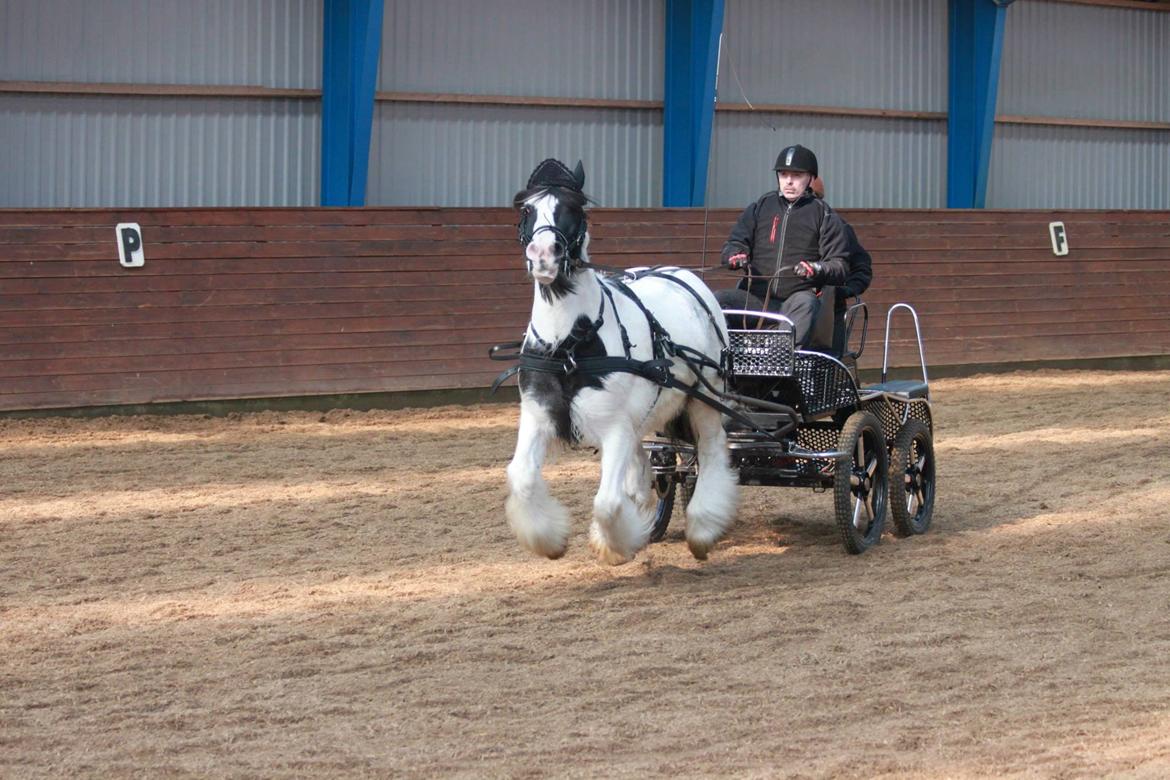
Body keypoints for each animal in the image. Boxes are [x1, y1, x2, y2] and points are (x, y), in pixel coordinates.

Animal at [503, 159, 739, 563]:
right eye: (527, 210)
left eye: (574, 208)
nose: (543, 255)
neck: (567, 346)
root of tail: (685, 275)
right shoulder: (537, 415)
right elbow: (521, 478)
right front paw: (551, 541)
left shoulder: (614, 426)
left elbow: (607, 503)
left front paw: (615, 545)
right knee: (644, 457)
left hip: (704, 399)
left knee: (711, 451)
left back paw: (702, 528)